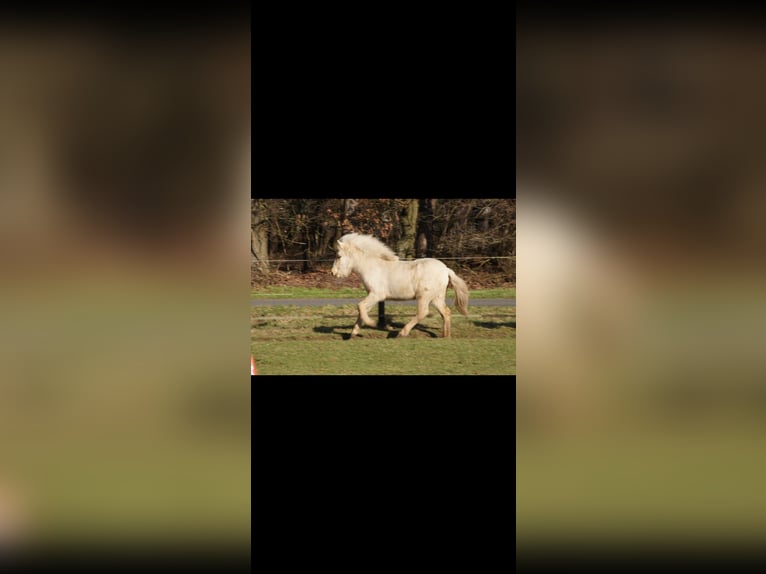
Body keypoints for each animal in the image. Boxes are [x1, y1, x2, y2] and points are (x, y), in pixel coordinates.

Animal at [330, 233, 468, 338]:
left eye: (338, 256)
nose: (333, 273)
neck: (372, 267)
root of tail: (446, 270)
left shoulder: (377, 295)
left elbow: (360, 307)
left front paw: (373, 324)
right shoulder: (372, 295)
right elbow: (362, 310)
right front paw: (353, 333)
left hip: (424, 296)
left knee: (423, 312)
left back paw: (402, 333)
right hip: (436, 297)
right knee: (446, 312)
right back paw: (445, 336)